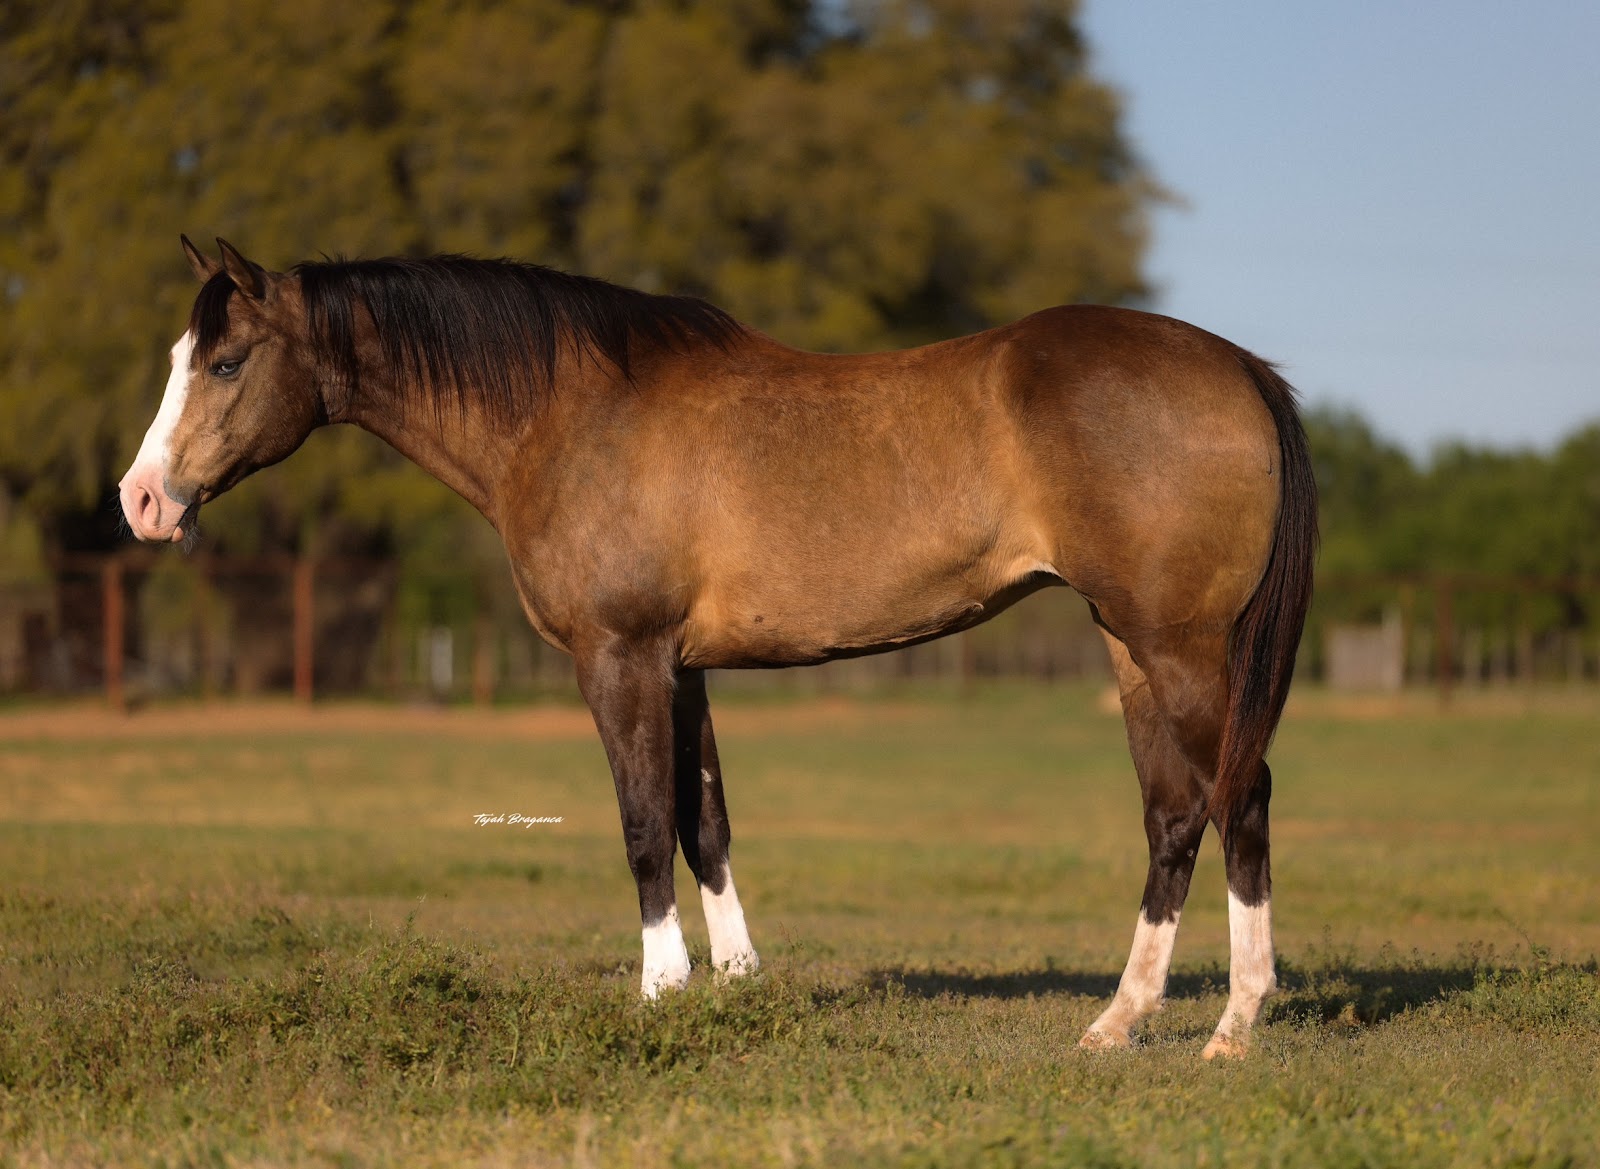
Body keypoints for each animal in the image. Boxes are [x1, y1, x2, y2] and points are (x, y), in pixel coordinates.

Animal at [120, 237, 1315, 1058]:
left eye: (225, 361)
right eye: (182, 354)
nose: (142, 501)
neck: (569, 412)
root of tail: (1241, 367)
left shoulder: (621, 657)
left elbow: (647, 823)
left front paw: (662, 992)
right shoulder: (682, 667)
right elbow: (707, 822)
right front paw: (738, 983)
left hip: (1180, 650)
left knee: (1241, 794)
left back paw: (1234, 1024)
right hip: (1131, 649)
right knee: (1173, 814)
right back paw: (1119, 1020)